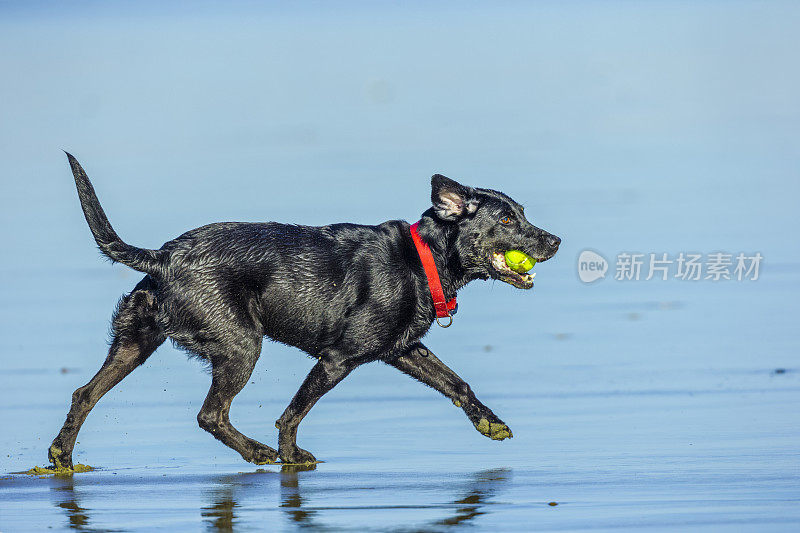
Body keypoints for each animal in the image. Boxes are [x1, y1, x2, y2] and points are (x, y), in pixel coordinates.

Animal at [50, 154, 560, 466]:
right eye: (507, 220)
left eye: (523, 212)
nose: (555, 240)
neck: (423, 259)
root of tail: (162, 257)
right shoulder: (337, 358)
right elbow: (293, 412)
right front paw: (290, 455)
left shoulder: (403, 349)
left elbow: (456, 382)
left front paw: (491, 423)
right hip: (241, 345)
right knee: (210, 415)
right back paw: (257, 452)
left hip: (135, 342)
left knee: (84, 394)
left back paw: (61, 459)